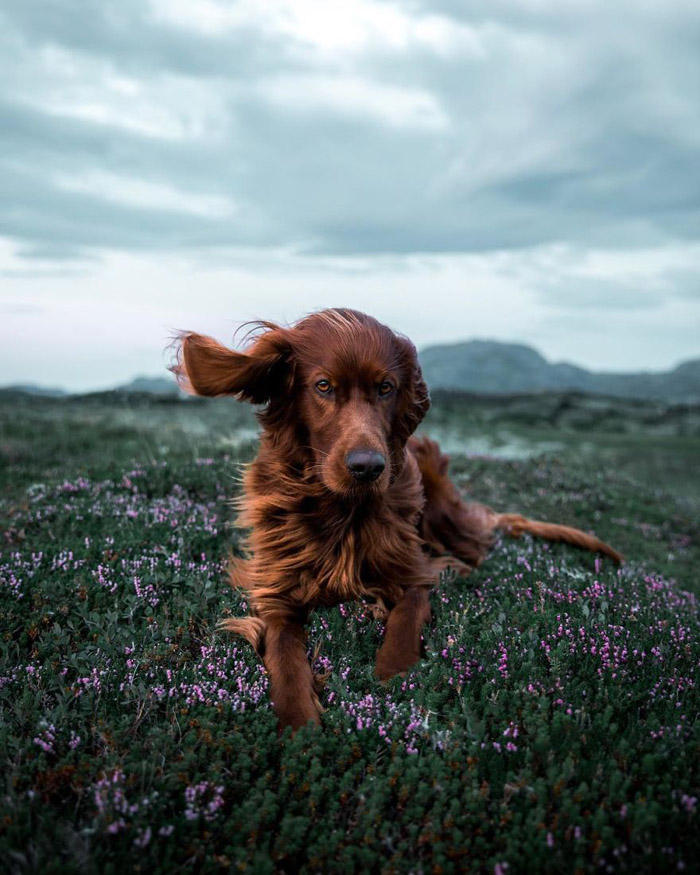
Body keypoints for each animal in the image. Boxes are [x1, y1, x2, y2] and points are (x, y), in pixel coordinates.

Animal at [172, 308, 620, 732]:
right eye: (323, 386)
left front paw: (392, 672)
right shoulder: (276, 589)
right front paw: (299, 721)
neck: (340, 508)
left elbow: (409, 612)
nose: (368, 467)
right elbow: (283, 651)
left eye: (385, 388)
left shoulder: (413, 567)